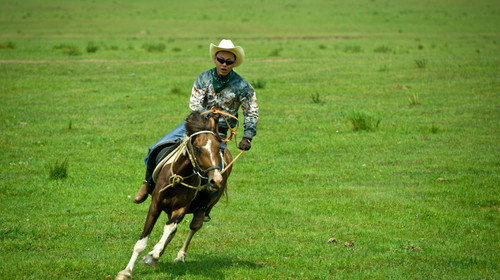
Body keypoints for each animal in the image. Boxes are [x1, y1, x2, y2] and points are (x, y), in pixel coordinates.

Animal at [116, 111, 233, 280]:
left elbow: (170, 227)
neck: (178, 177)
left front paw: (155, 252)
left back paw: (178, 256)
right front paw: (126, 271)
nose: (216, 180)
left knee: (193, 227)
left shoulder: (181, 209)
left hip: (202, 209)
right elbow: (141, 243)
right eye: (198, 148)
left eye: (218, 148)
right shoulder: (155, 205)